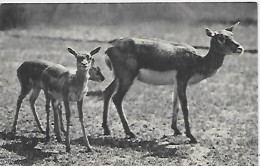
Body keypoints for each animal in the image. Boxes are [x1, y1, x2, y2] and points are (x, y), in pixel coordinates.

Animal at [103, 21, 244, 143]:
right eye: (220, 38)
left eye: (232, 35)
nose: (240, 48)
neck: (198, 62)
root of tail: (111, 47)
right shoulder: (182, 79)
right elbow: (185, 106)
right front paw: (191, 136)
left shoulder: (176, 83)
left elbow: (175, 104)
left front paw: (176, 130)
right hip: (127, 76)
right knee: (117, 98)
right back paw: (130, 132)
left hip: (119, 76)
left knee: (107, 91)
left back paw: (106, 129)